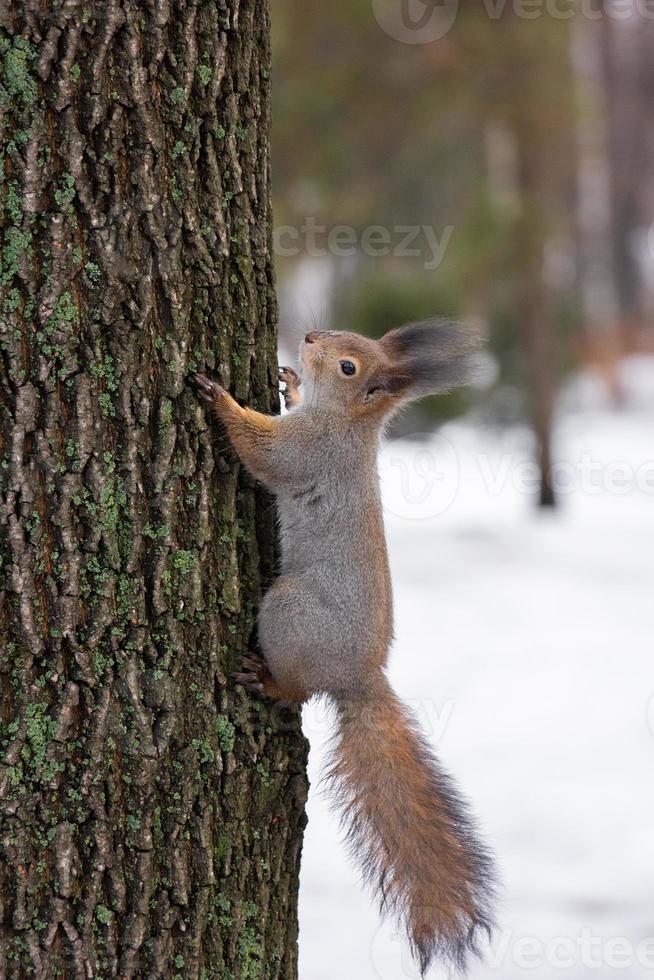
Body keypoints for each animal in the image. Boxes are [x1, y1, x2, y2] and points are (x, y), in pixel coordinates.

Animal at [195, 320, 498, 972]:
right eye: (347, 340)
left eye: (349, 368)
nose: (309, 337)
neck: (350, 425)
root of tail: (359, 676)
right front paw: (288, 384)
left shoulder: (309, 450)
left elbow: (263, 452)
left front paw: (222, 399)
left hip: (288, 612)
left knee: (297, 692)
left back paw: (268, 680)